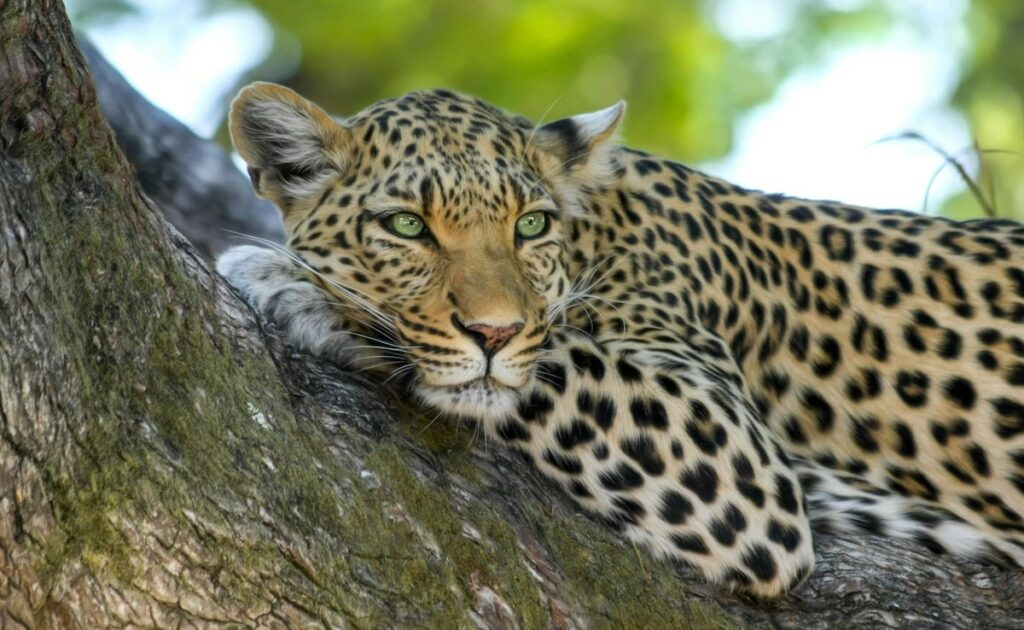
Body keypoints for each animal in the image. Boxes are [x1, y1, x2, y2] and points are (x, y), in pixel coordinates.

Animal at [216, 82, 1024, 598]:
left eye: (530, 225)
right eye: (408, 226)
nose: (493, 331)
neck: (597, 233)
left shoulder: (734, 455)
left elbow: (552, 360)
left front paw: (295, 284)